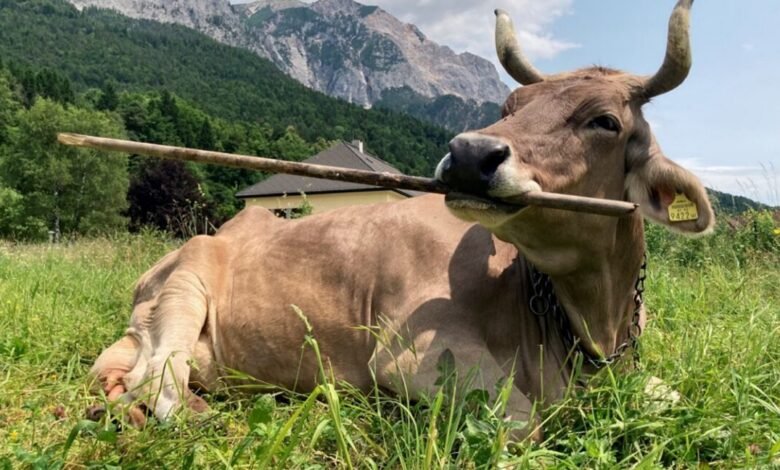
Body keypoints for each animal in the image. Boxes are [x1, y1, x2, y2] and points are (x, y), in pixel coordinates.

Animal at [90, 0, 713, 440]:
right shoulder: (414, 356)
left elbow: (679, 399)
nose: (468, 154)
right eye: (510, 108)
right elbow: (524, 424)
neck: (590, 327)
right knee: (157, 381)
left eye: (605, 121)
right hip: (187, 281)